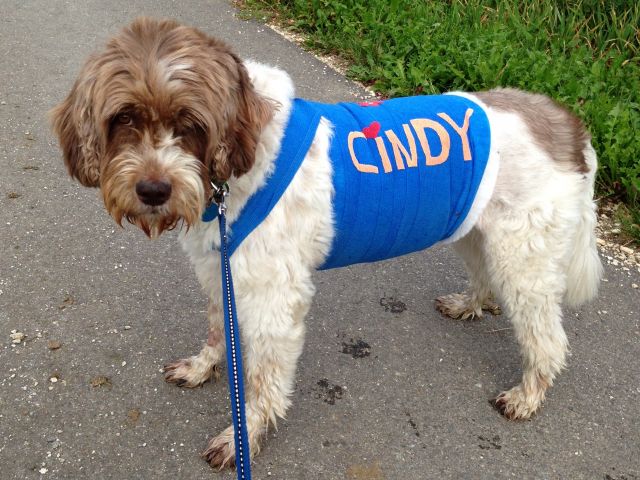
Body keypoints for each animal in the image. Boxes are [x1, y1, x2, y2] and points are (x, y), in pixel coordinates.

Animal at [50, 18, 602, 468]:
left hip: (524, 260)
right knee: (485, 278)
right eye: (123, 119)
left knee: (548, 340)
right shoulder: (221, 268)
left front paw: (245, 437)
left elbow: (262, 381)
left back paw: (528, 394)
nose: (153, 190)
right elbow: (216, 329)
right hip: (473, 228)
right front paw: (205, 367)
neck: (241, 163)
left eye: (190, 124)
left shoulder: (273, 298)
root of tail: (567, 124)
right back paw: (470, 304)